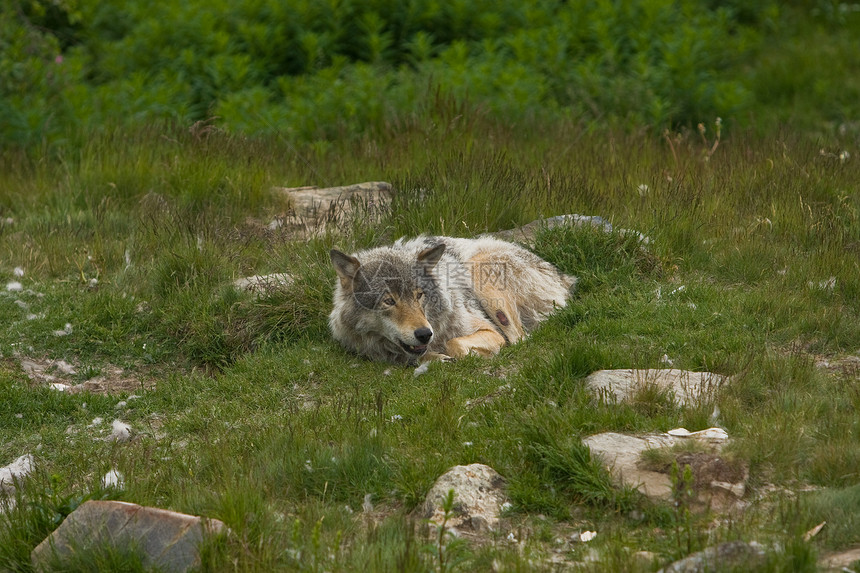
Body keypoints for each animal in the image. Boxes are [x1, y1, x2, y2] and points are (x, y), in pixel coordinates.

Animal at [330, 236, 576, 362]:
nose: (424, 334)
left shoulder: (488, 330)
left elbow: (454, 343)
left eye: (419, 295)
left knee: (519, 338)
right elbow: (420, 356)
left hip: (478, 267)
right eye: (388, 301)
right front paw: (435, 358)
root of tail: (564, 277)